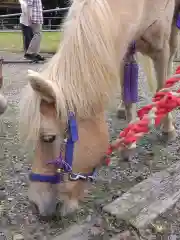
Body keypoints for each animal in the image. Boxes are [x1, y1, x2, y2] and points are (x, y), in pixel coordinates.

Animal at [20, 0, 177, 218]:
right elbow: (127, 94)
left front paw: (167, 128)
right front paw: (129, 142)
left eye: (48, 137)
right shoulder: (123, 42)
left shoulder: (160, 46)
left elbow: (163, 84)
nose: (35, 204)